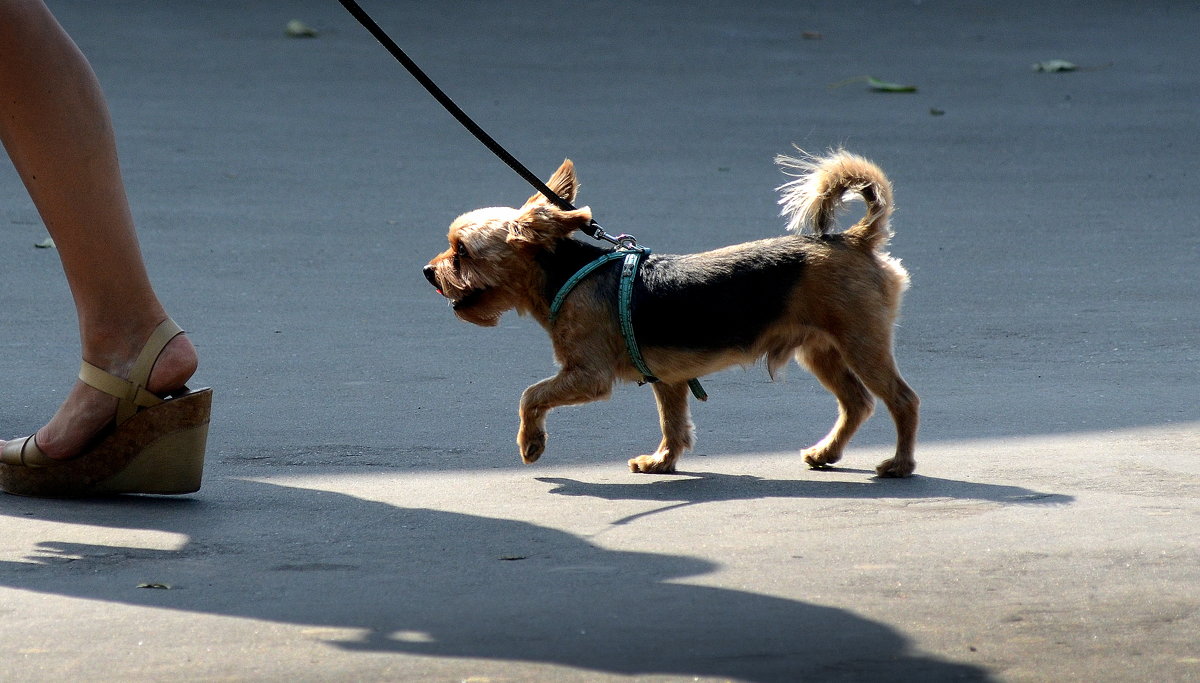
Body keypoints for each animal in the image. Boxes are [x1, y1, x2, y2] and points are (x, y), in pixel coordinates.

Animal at [422, 151, 916, 477]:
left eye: (461, 252)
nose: (428, 272)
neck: (568, 275)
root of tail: (855, 239)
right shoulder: (670, 379)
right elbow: (673, 423)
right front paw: (662, 460)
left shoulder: (588, 376)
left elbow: (530, 394)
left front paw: (531, 443)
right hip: (820, 350)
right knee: (857, 402)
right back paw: (825, 453)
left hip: (861, 343)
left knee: (902, 400)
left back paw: (899, 463)